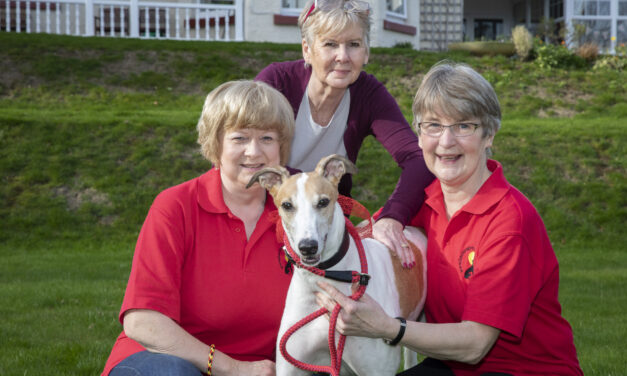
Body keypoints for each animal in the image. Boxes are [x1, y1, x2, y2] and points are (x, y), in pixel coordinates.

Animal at [248, 154, 430, 374]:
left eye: (323, 202)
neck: (325, 282)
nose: (308, 247)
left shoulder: (376, 369)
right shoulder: (292, 365)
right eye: (287, 205)